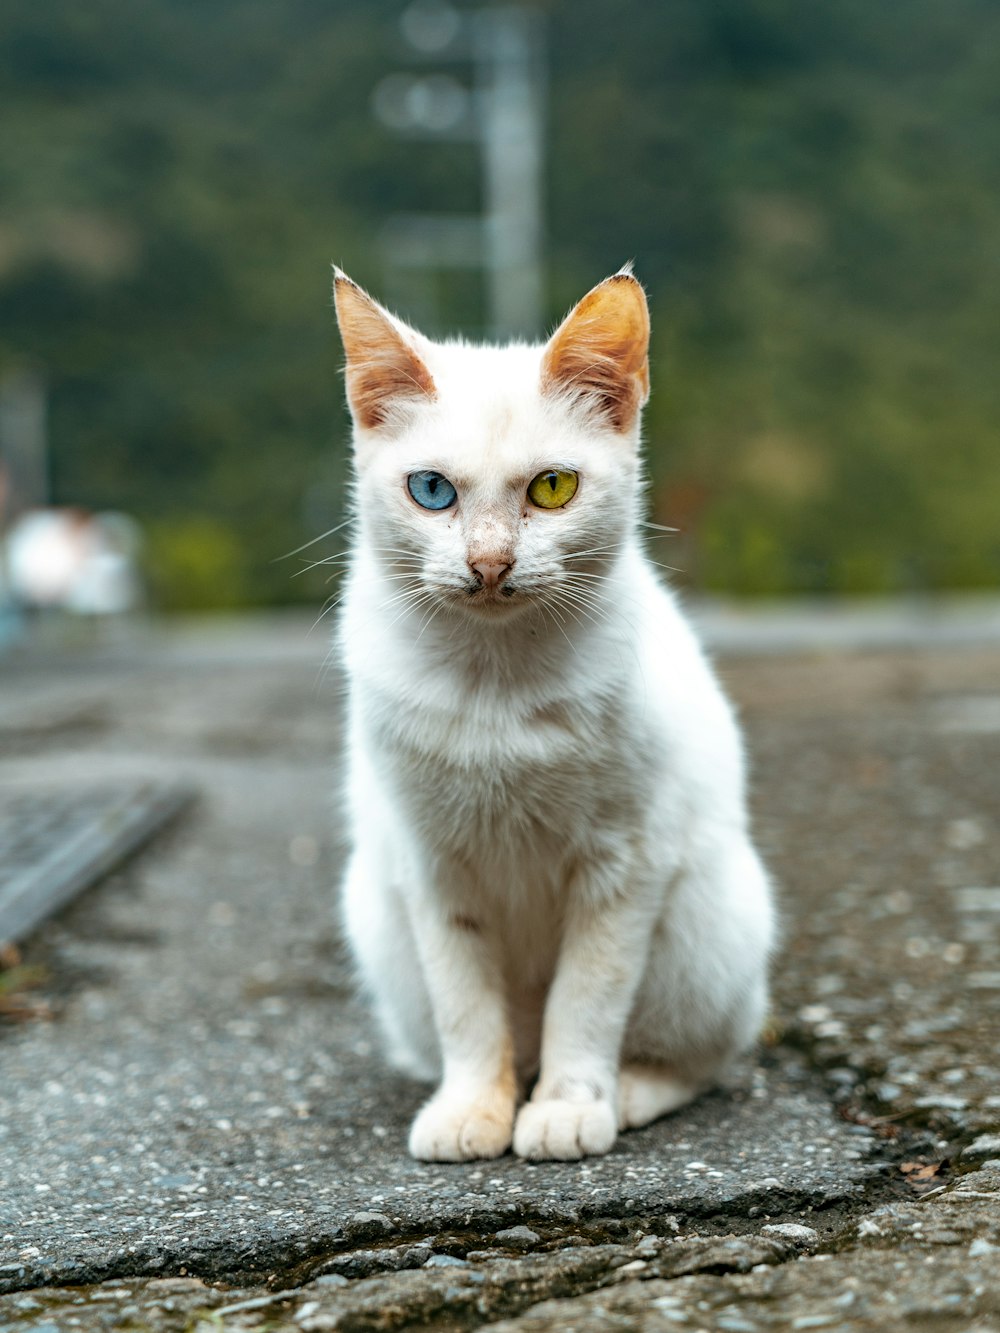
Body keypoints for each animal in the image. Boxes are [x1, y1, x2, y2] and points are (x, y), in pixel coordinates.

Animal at [333, 265, 778, 1162]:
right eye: (431, 490)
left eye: (553, 487)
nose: (489, 563)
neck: (495, 684)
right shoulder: (431, 866)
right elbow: (467, 1006)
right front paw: (472, 1107)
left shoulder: (625, 863)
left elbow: (588, 997)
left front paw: (570, 1106)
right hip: (376, 914)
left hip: (712, 920)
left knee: (700, 1059)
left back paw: (626, 1092)